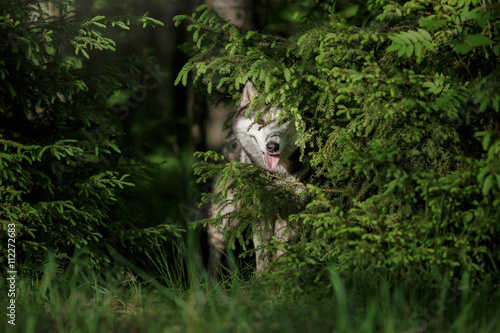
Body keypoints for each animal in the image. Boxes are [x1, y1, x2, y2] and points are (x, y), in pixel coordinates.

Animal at [206, 80, 308, 274]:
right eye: (260, 121)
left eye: (283, 120)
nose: (272, 146)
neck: (278, 174)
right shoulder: (262, 211)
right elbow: (262, 255)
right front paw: (262, 279)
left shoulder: (293, 210)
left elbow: (281, 251)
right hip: (224, 219)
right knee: (214, 253)